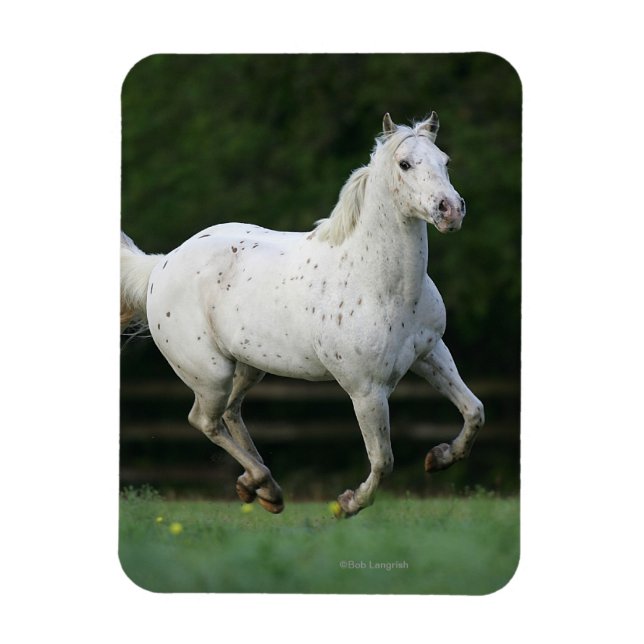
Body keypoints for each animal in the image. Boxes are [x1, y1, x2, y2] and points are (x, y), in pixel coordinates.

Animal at [120, 111, 485, 517]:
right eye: (405, 164)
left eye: (445, 161)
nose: (450, 210)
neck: (381, 284)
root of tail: (161, 264)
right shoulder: (366, 390)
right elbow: (383, 460)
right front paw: (347, 504)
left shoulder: (431, 353)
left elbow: (474, 411)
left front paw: (439, 458)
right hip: (211, 374)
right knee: (205, 420)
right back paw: (263, 484)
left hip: (249, 366)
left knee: (231, 413)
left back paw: (261, 487)